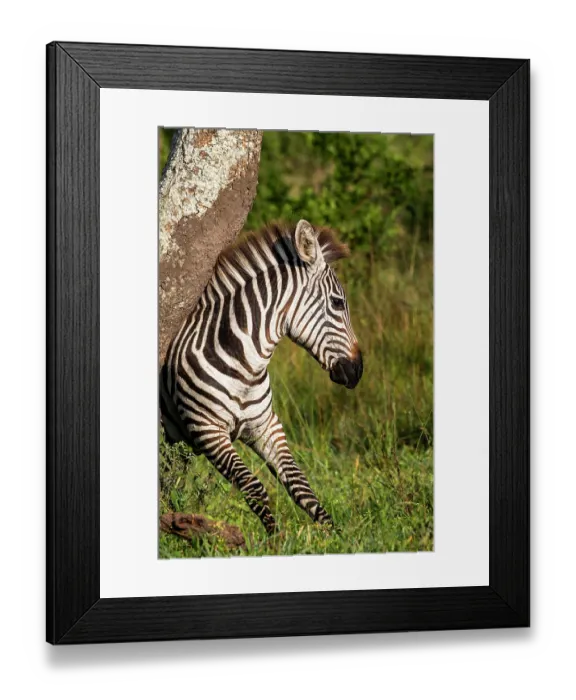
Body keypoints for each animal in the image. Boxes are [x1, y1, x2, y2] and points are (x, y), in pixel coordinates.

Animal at [160, 219, 363, 534]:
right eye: (338, 303)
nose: (358, 370)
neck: (246, 366)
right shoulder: (208, 430)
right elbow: (253, 486)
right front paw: (275, 538)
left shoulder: (265, 426)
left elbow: (300, 483)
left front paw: (334, 535)